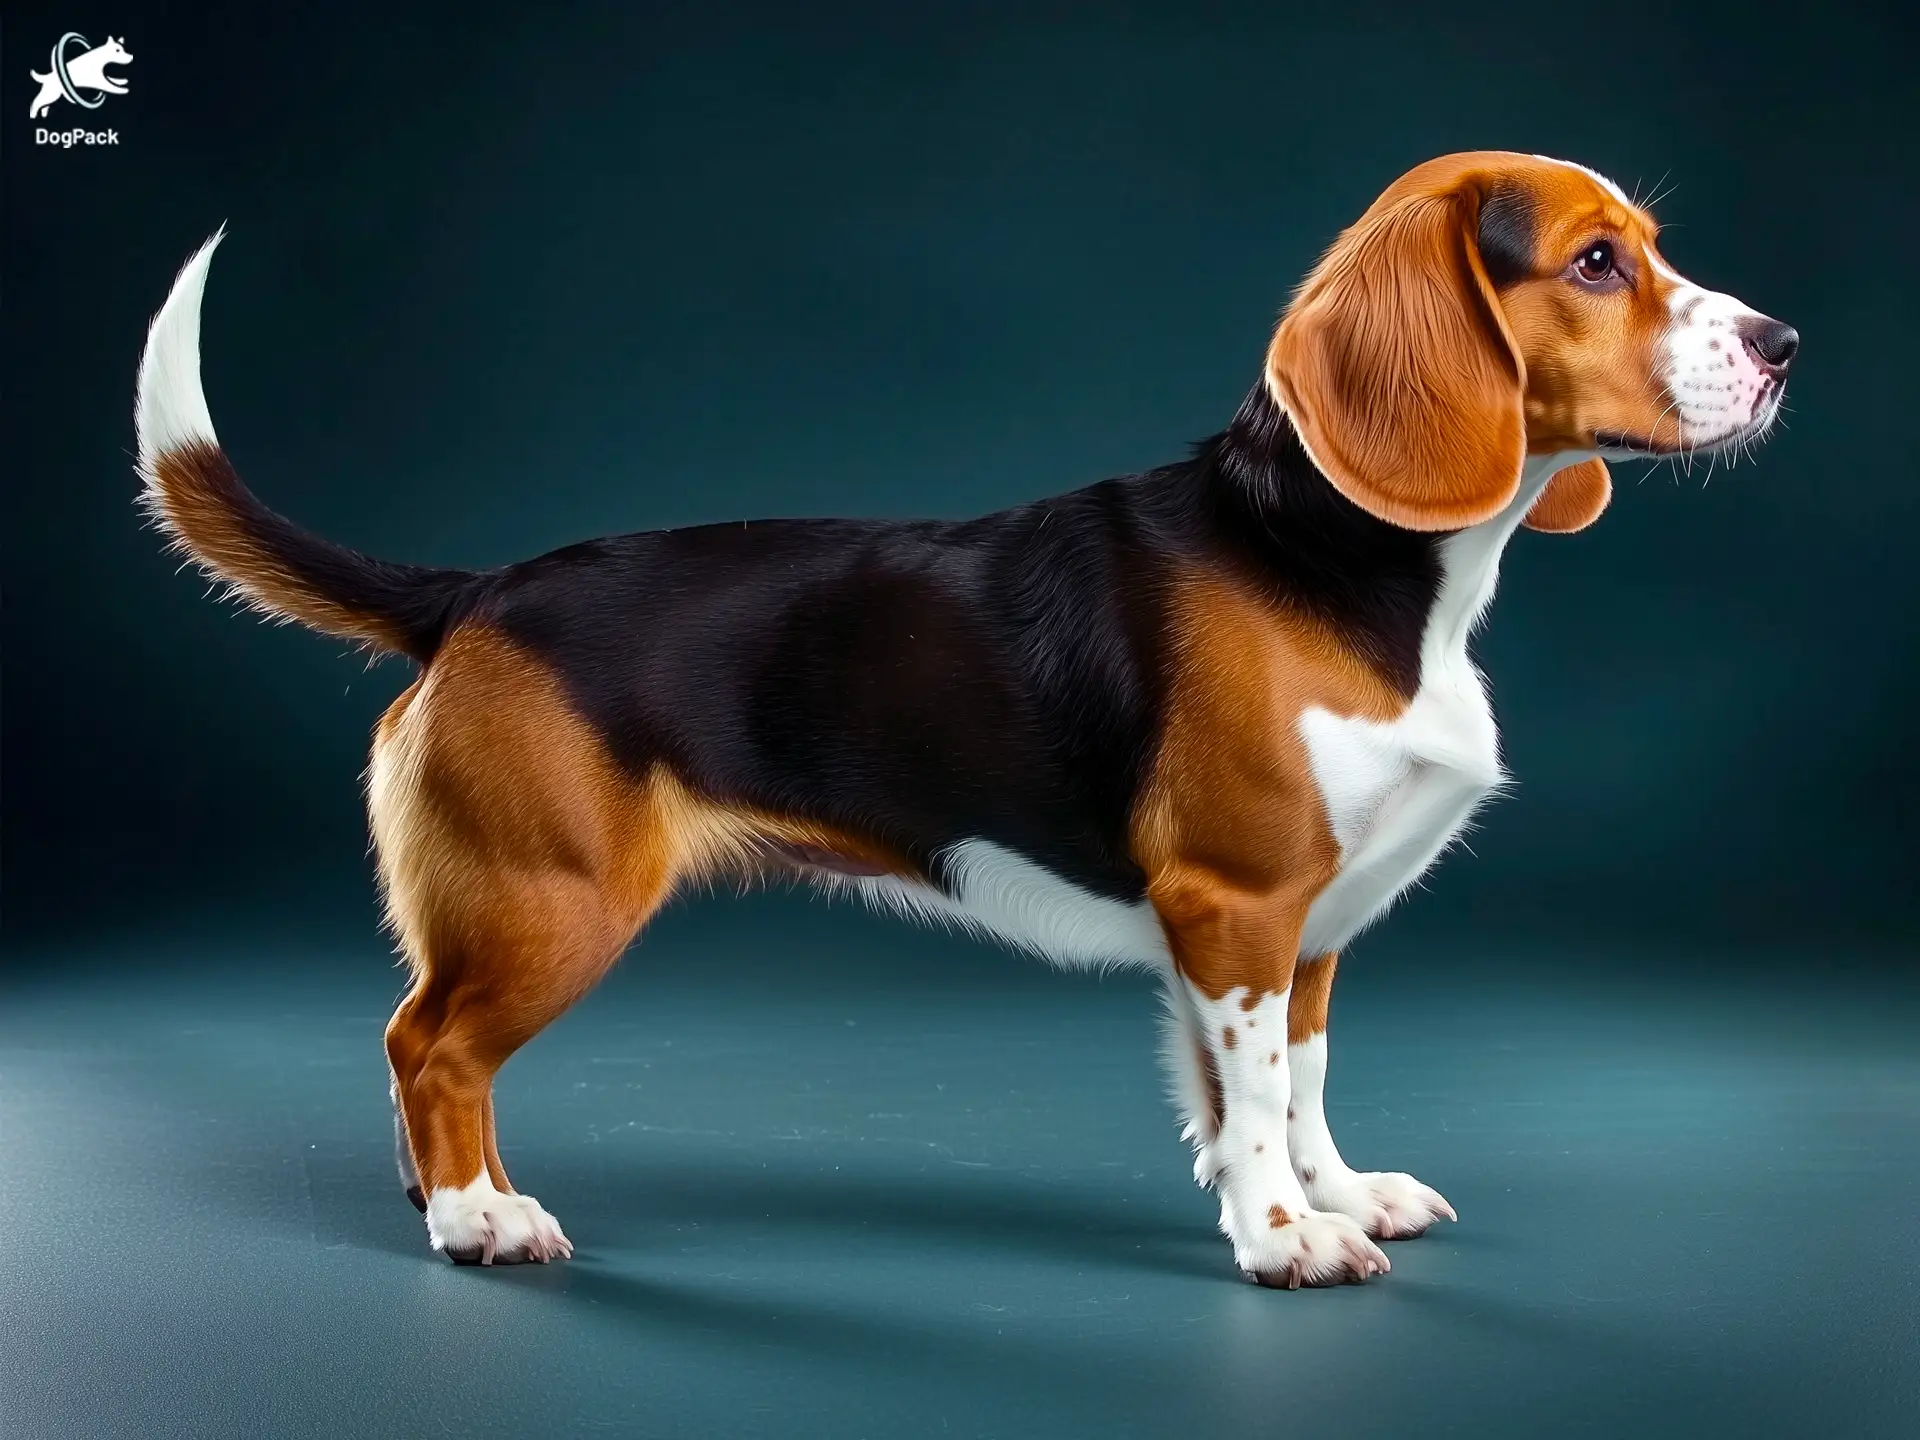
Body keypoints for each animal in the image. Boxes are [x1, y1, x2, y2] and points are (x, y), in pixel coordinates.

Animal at [139, 152, 1797, 1290]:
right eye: (1596, 262)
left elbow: (1300, 1076)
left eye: (1651, 248)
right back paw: (480, 1214)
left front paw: (1333, 1192)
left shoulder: (1310, 925)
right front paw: (1282, 1238)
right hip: (550, 901)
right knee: (429, 1045)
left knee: (425, 1049)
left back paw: (445, 1199)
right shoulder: (1238, 903)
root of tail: (478, 591)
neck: (1342, 560)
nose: (1785, 344)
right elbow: (1257, 1088)